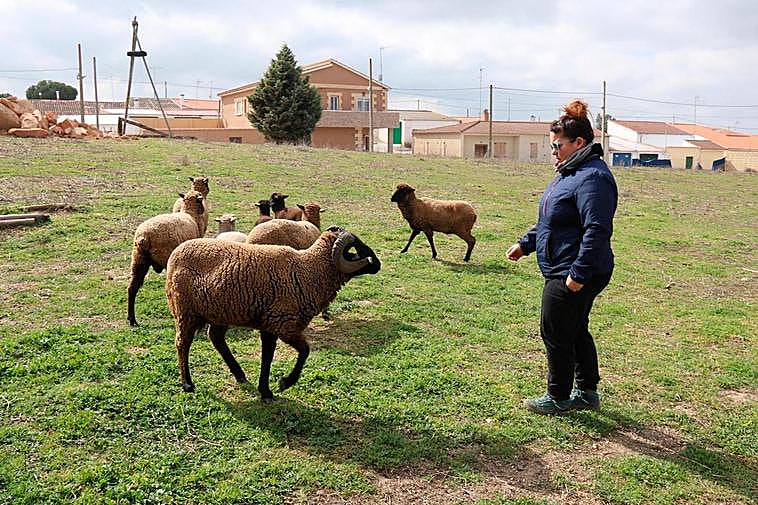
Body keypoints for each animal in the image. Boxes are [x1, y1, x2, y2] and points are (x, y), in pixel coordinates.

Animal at [127, 191, 207, 327]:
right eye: (200, 200)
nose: (203, 210)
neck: (190, 214)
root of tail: (144, 237)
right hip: (166, 260)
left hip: (138, 259)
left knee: (132, 288)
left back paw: (132, 320)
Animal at [165, 226, 381, 399]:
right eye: (355, 248)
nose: (378, 263)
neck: (309, 271)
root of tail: (175, 254)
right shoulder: (283, 324)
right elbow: (304, 351)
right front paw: (284, 384)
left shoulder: (270, 324)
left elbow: (267, 357)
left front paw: (265, 390)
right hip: (185, 312)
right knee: (182, 344)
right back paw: (187, 384)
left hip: (220, 311)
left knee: (216, 338)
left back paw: (240, 375)